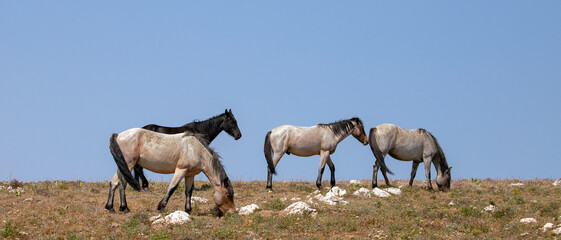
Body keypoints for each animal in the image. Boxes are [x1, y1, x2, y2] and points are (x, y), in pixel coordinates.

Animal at [104, 128, 235, 215]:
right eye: (228, 195)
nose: (233, 212)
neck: (196, 149)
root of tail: (118, 135)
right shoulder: (181, 170)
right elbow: (172, 188)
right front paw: (161, 207)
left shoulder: (190, 174)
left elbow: (188, 192)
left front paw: (188, 210)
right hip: (129, 164)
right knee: (121, 184)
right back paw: (124, 208)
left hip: (123, 165)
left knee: (114, 183)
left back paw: (111, 207)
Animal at [262, 117, 390, 190]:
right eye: (361, 127)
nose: (366, 141)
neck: (331, 133)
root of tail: (272, 131)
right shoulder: (325, 152)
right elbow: (322, 168)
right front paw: (319, 185)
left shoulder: (326, 154)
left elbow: (332, 167)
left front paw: (333, 184)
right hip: (279, 153)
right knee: (270, 167)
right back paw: (269, 187)